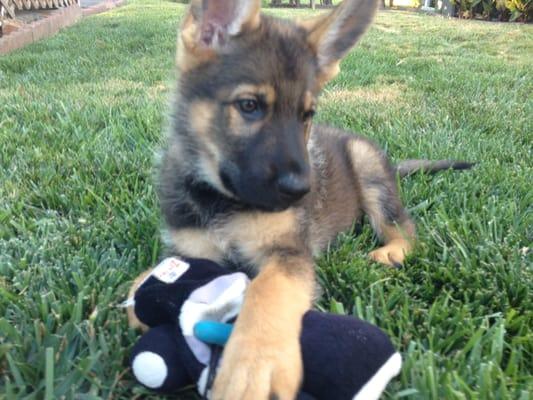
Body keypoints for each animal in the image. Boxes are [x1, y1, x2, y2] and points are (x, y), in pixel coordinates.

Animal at [135, 1, 468, 398]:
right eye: (249, 105)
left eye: (306, 115)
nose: (303, 191)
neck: (222, 201)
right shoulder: (188, 251)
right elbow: (145, 284)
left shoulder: (289, 251)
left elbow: (269, 289)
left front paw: (253, 363)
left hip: (367, 167)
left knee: (405, 227)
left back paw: (391, 252)